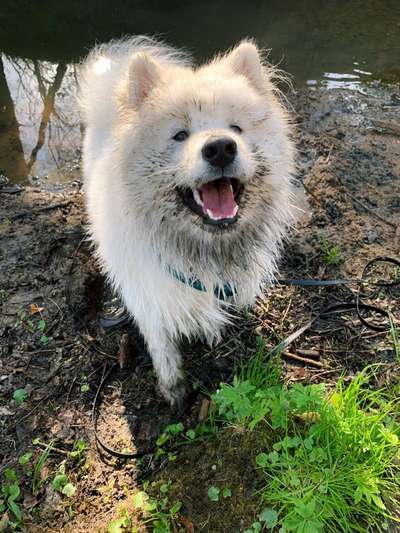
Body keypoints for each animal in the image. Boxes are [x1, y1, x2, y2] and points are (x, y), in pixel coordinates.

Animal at [79, 36, 296, 404]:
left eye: (236, 128)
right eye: (179, 135)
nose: (221, 147)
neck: (200, 250)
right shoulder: (149, 295)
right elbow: (163, 347)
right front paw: (174, 389)